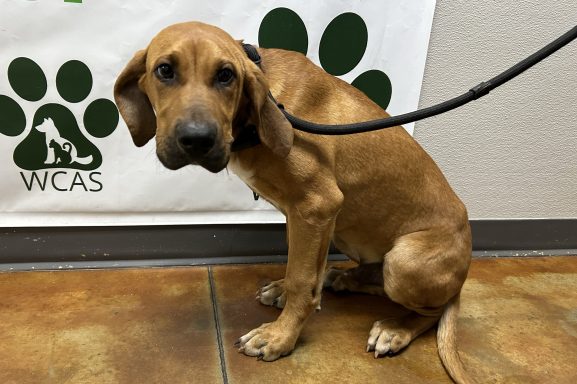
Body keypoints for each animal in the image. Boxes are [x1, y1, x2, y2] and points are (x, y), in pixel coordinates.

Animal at [113, 21, 472, 384]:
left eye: (226, 75)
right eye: (164, 70)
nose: (197, 140)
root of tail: (463, 273)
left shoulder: (318, 205)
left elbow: (303, 280)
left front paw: (279, 336)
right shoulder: (301, 214)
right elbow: (298, 266)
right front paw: (285, 291)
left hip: (403, 261)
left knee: (430, 311)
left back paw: (395, 329)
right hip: (351, 238)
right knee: (374, 278)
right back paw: (344, 279)